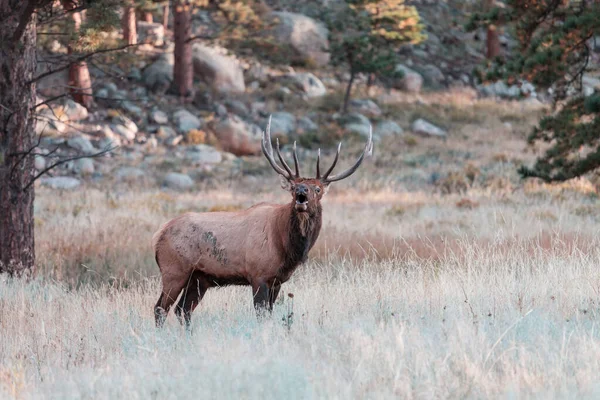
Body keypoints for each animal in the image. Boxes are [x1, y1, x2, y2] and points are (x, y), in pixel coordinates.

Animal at [152, 116, 372, 328]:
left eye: (317, 189)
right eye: (293, 187)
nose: (301, 191)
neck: (286, 247)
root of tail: (158, 235)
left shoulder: (278, 281)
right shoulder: (258, 274)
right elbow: (262, 315)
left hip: (199, 278)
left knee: (182, 310)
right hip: (174, 270)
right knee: (160, 308)